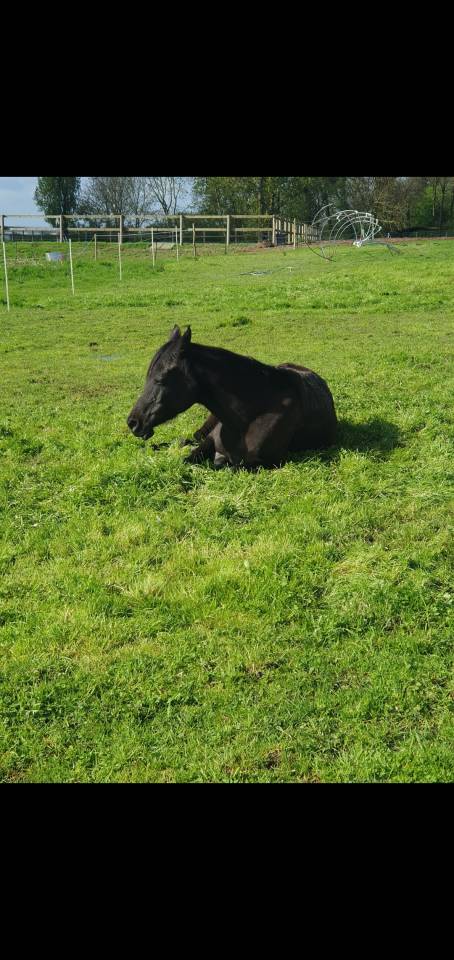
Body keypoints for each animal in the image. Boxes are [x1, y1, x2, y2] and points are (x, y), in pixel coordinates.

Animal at [127, 326, 337, 469]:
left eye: (160, 379)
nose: (133, 422)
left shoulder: (257, 463)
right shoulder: (209, 441)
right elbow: (190, 457)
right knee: (192, 437)